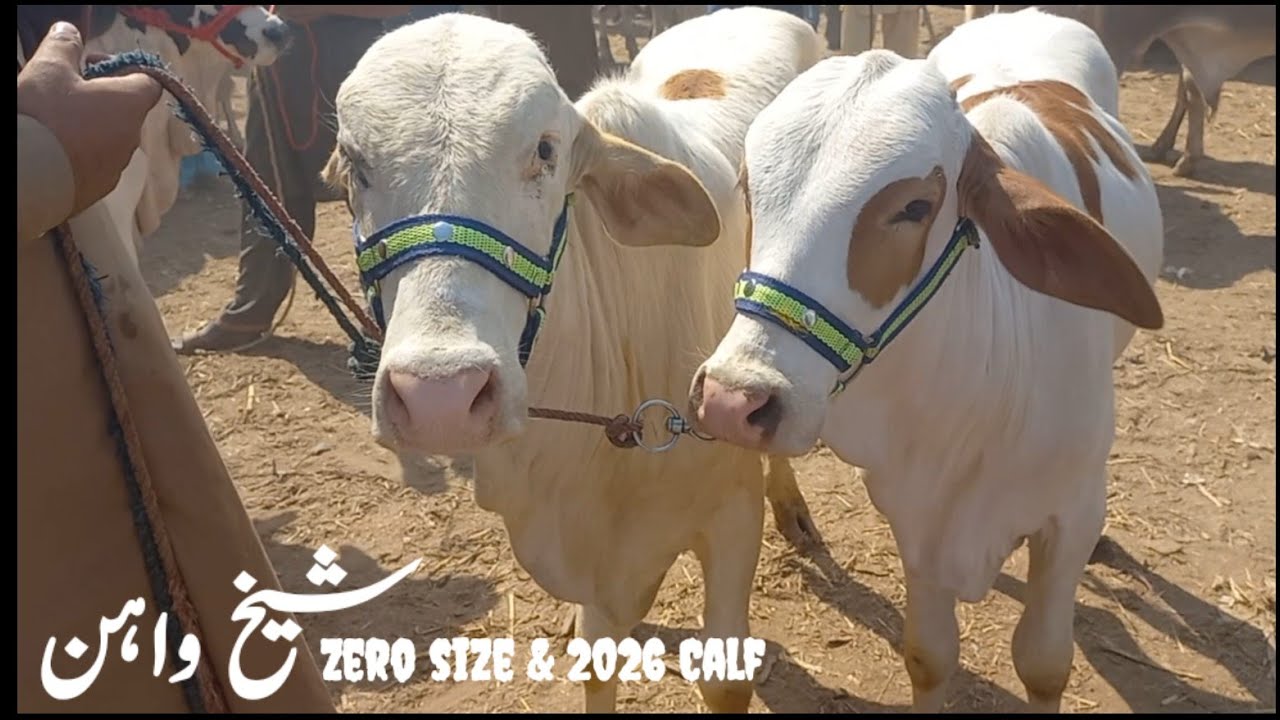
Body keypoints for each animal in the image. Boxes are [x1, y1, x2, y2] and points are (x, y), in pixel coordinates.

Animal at [322, 7, 825, 712]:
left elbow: (725, 677)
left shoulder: (730, 515)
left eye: (545, 150)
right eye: (353, 163)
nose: (440, 395)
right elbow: (597, 654)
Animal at [689, 8, 1165, 713]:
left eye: (914, 207)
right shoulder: (914, 514)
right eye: (751, 188)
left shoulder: (1069, 518)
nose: (732, 400)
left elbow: (1044, 663)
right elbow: (930, 658)